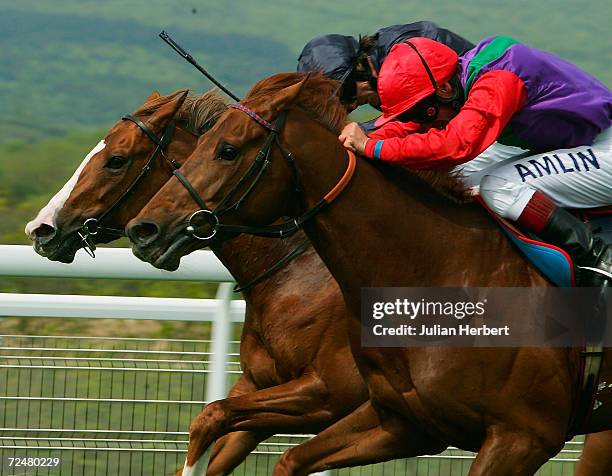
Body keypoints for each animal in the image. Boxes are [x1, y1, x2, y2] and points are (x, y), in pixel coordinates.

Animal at [25, 91, 364, 474]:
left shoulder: (328, 393)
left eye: (116, 160)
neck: (296, 274)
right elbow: (210, 432)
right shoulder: (260, 390)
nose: (41, 228)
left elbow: (208, 421)